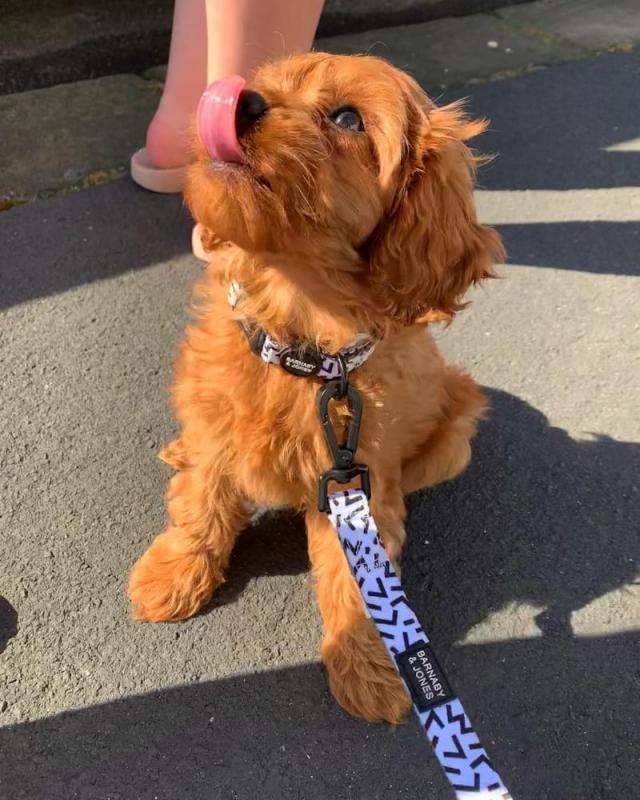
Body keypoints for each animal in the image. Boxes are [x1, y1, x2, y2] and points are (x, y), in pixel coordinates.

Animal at [127, 53, 502, 720]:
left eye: (349, 118)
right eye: (265, 84)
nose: (240, 100)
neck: (299, 344)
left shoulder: (355, 481)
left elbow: (358, 581)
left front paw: (369, 668)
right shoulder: (217, 431)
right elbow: (200, 505)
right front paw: (172, 577)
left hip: (455, 434)